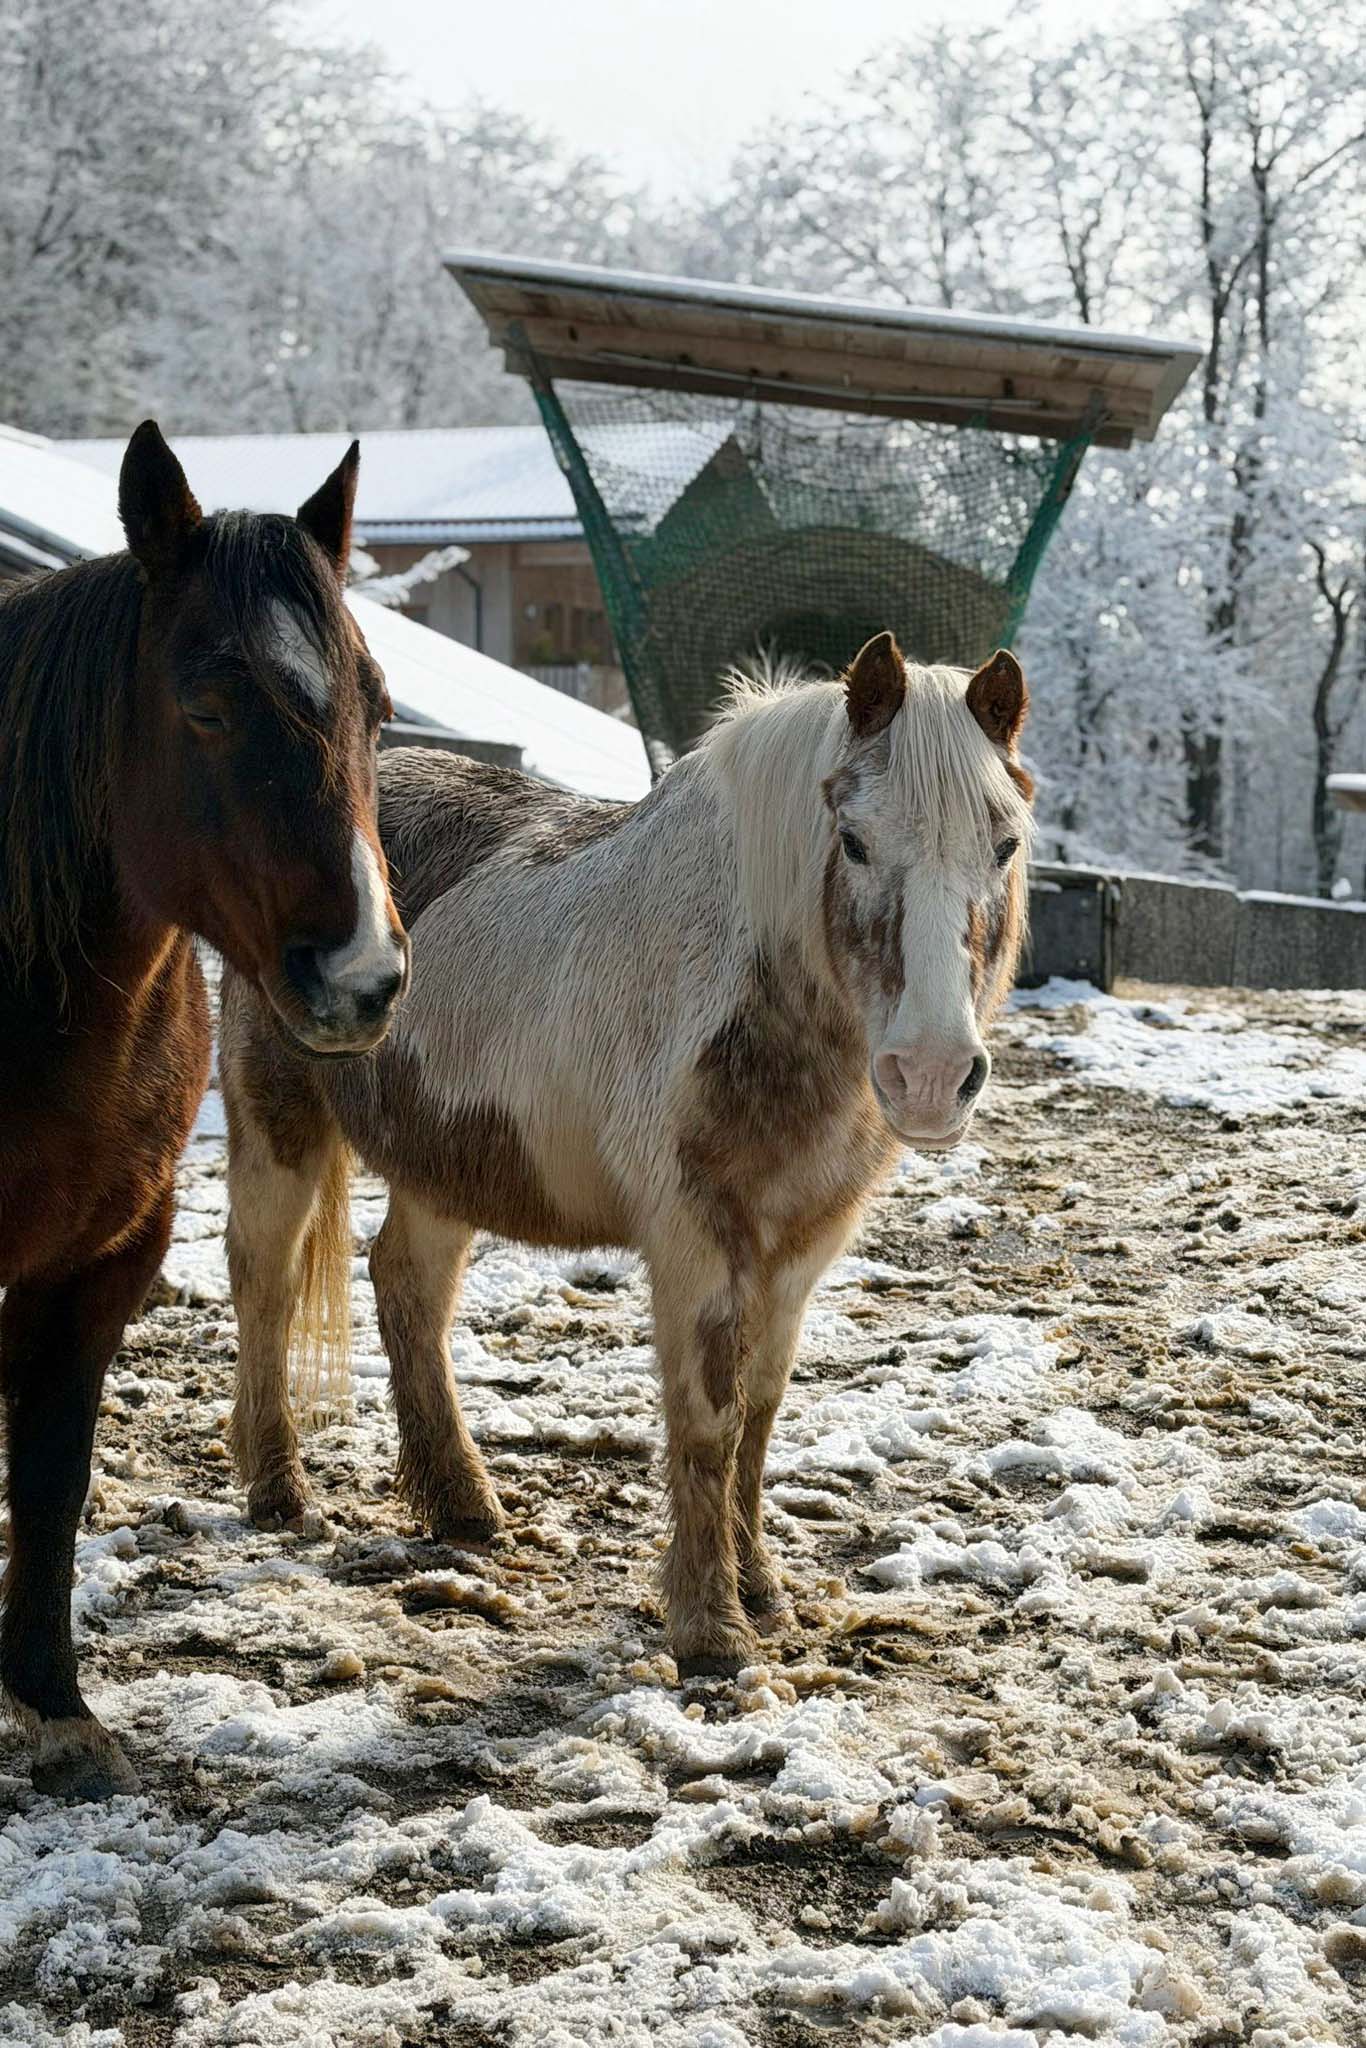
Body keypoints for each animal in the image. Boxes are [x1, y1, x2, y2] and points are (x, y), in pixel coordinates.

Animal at [0, 423, 409, 1799]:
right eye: (209, 705)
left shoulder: (99, 1261)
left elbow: (51, 1472)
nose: (362, 977)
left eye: (377, 705)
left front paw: (55, 1706)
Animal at [221, 633, 1033, 1678]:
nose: (930, 1073)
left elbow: (761, 1415)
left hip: (445, 1158)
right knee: (268, 1281)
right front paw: (712, 1631)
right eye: (853, 842)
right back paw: (280, 1493)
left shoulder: (802, 1246)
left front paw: (763, 1592)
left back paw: (464, 1506)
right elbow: (708, 1417)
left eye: (1005, 845)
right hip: (276, 1121)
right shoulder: (694, 1236)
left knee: (406, 1288)